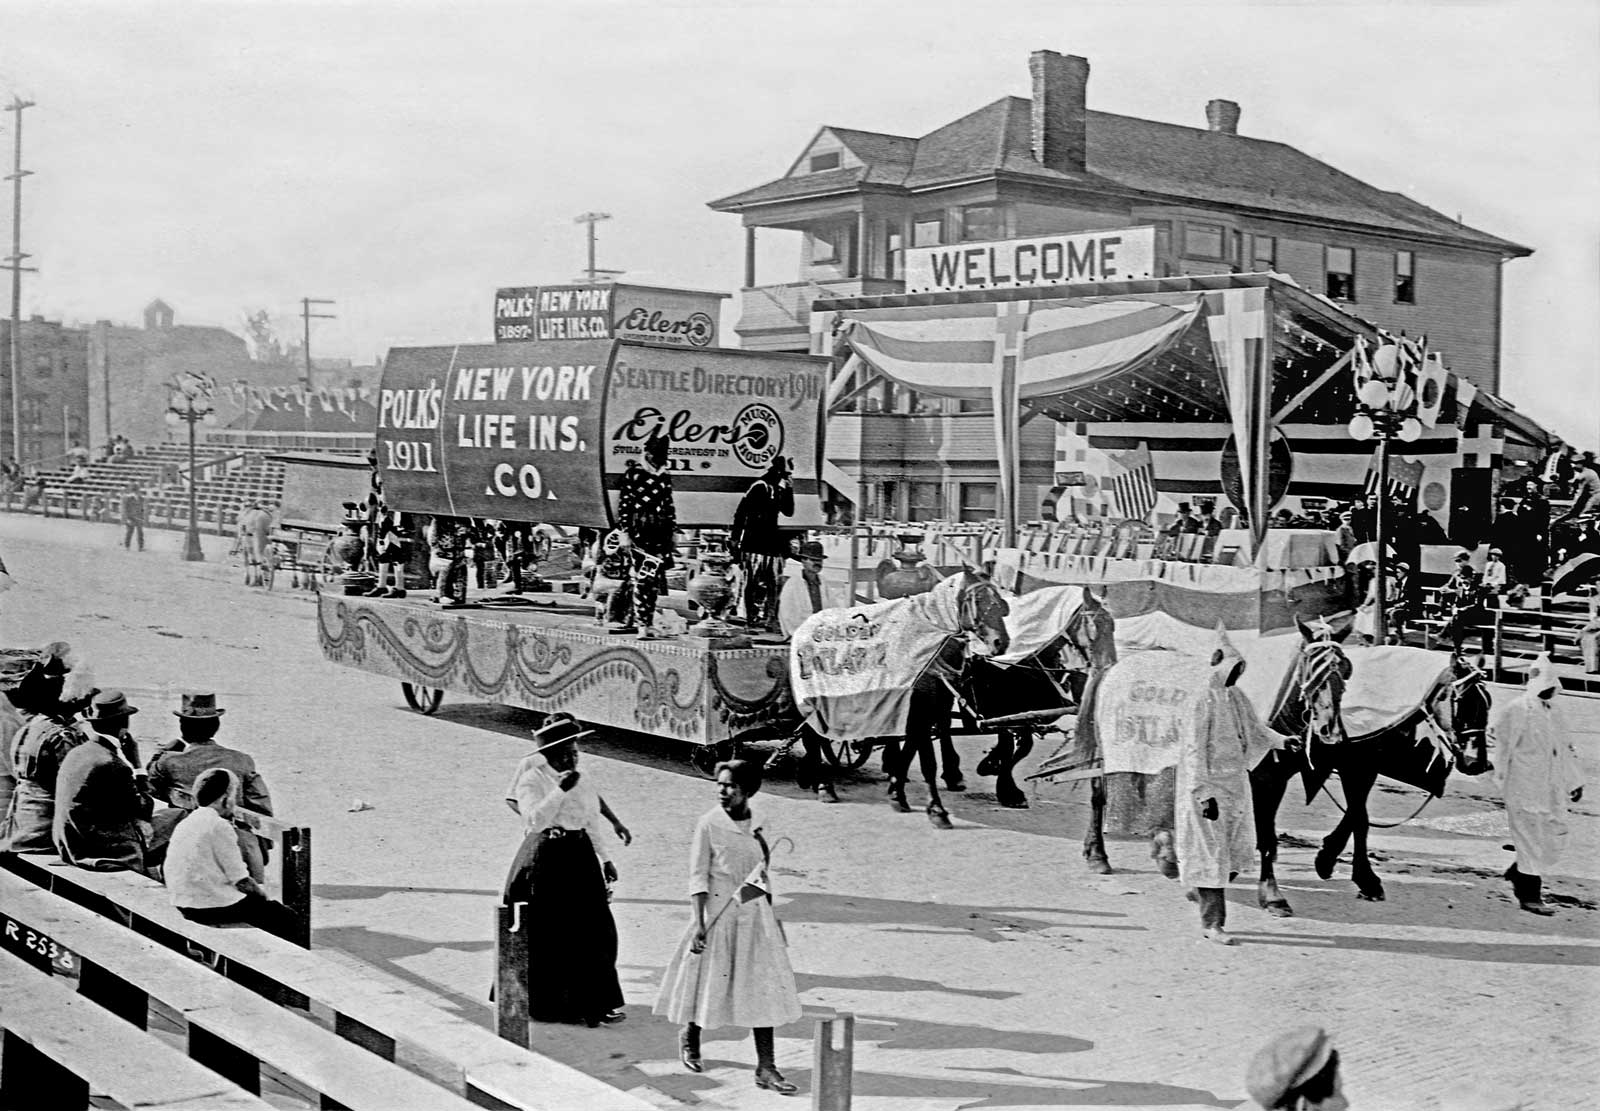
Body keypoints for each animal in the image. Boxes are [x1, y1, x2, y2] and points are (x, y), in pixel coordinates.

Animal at [789, 568, 1010, 828]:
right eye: (977, 599)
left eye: (1000, 601)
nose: (1000, 642)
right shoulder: (919, 708)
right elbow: (927, 761)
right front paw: (936, 809)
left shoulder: (930, 706)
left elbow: (913, 747)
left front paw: (897, 790)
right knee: (813, 737)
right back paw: (823, 785)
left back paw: (813, 778)